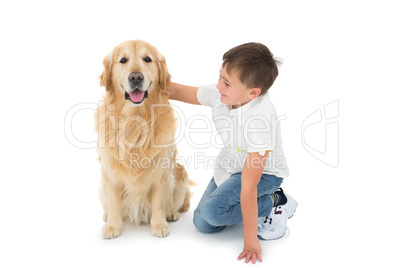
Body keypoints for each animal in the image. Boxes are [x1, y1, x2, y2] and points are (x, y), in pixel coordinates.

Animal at [95, 40, 191, 239]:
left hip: (180, 173)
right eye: (123, 60)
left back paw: (172, 213)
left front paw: (159, 225)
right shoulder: (110, 170)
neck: (135, 120)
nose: (136, 77)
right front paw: (112, 226)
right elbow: (114, 201)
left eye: (147, 59)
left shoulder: (162, 170)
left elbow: (159, 201)